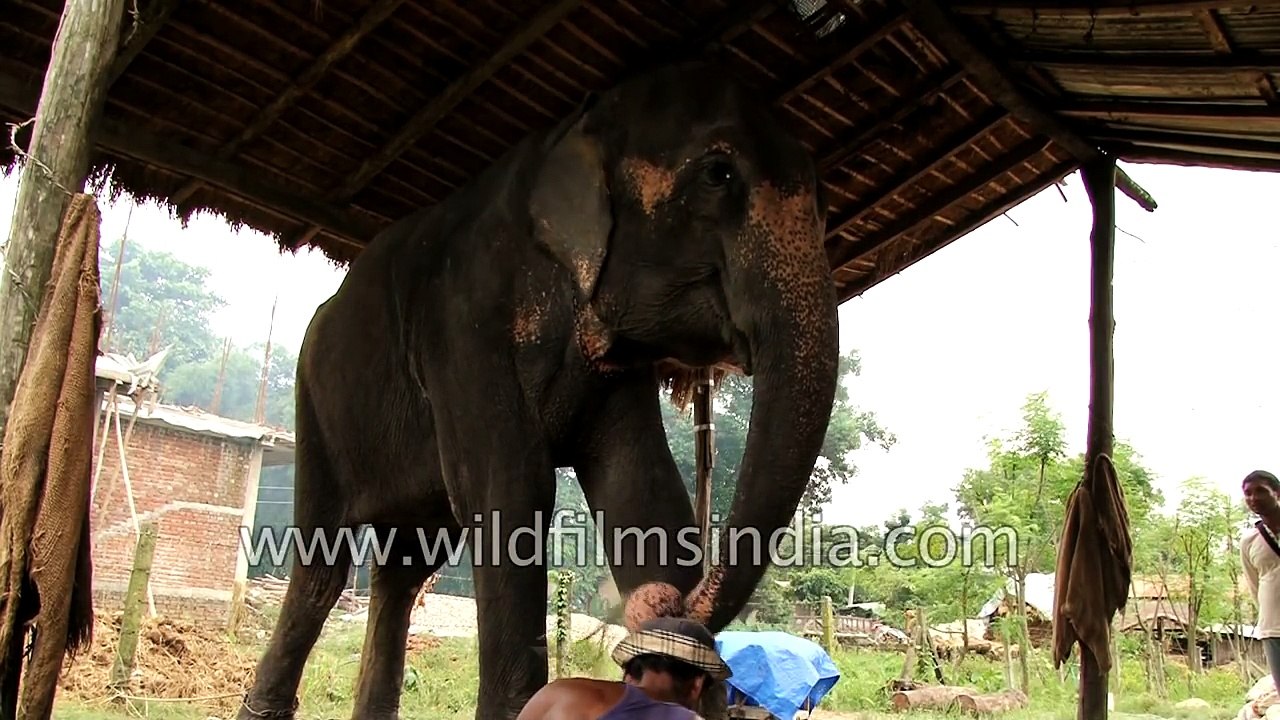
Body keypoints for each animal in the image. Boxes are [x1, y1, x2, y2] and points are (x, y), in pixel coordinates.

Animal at [235, 61, 840, 720]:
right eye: (718, 174)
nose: (663, 606)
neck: (575, 128)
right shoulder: (465, 329)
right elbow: (510, 492)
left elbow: (646, 496)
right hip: (313, 401)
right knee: (321, 562)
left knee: (403, 569)